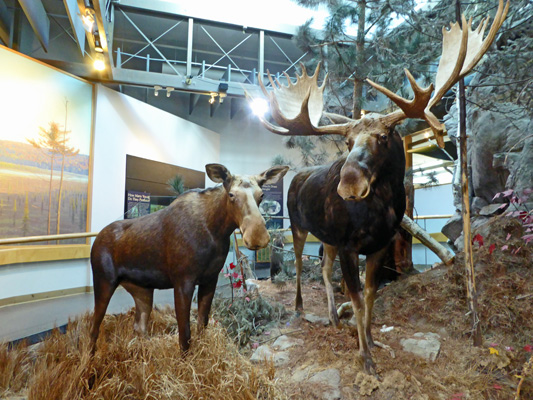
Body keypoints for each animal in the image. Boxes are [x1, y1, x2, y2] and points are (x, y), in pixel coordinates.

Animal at [92, 162, 290, 354]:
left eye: (262, 194)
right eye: (231, 194)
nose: (257, 237)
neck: (217, 230)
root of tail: (96, 240)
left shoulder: (210, 279)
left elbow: (202, 324)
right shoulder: (183, 281)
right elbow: (185, 335)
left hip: (142, 290)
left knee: (139, 327)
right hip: (104, 281)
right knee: (94, 327)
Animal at [254, 0, 508, 376]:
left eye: (385, 136)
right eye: (347, 141)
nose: (349, 183)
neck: (383, 209)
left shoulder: (378, 245)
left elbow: (372, 295)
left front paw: (372, 341)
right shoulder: (349, 245)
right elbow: (357, 300)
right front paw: (366, 359)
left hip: (327, 237)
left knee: (324, 270)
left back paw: (332, 318)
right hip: (298, 227)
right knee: (298, 265)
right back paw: (301, 308)